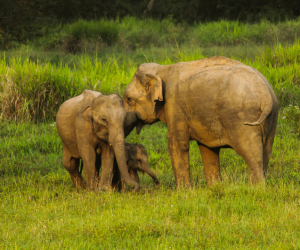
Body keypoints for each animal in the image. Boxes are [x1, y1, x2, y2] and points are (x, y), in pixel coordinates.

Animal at [122, 55, 278, 187]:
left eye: (129, 99)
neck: (162, 69)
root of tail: (266, 96)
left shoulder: (174, 106)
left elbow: (177, 144)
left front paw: (184, 192)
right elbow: (207, 148)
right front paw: (214, 187)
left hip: (241, 117)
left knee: (251, 154)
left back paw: (257, 189)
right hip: (272, 117)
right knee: (266, 151)